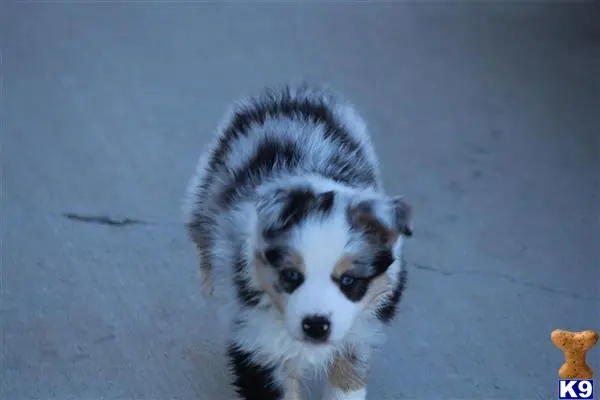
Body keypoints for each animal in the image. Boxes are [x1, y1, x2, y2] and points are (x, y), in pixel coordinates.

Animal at [183, 84, 412, 400]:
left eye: (349, 280)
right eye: (291, 276)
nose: (316, 326)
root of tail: (291, 94)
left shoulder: (359, 335)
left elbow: (347, 384)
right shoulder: (258, 344)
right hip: (207, 180)